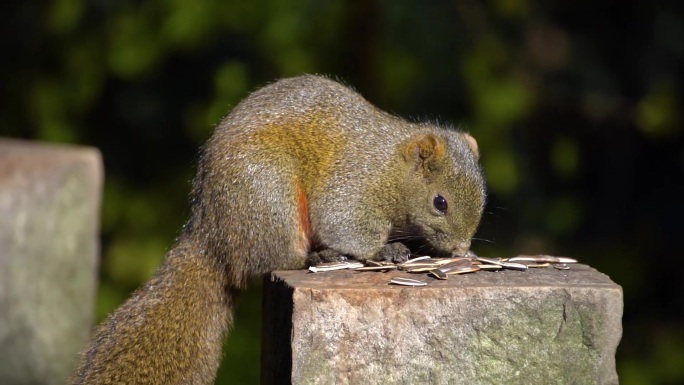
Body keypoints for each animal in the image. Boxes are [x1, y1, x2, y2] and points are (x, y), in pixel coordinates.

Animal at [72, 73, 486, 382]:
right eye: (440, 202)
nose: (461, 249)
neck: (393, 165)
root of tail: (211, 234)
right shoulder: (354, 186)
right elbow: (345, 225)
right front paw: (387, 250)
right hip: (269, 195)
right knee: (275, 258)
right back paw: (317, 256)